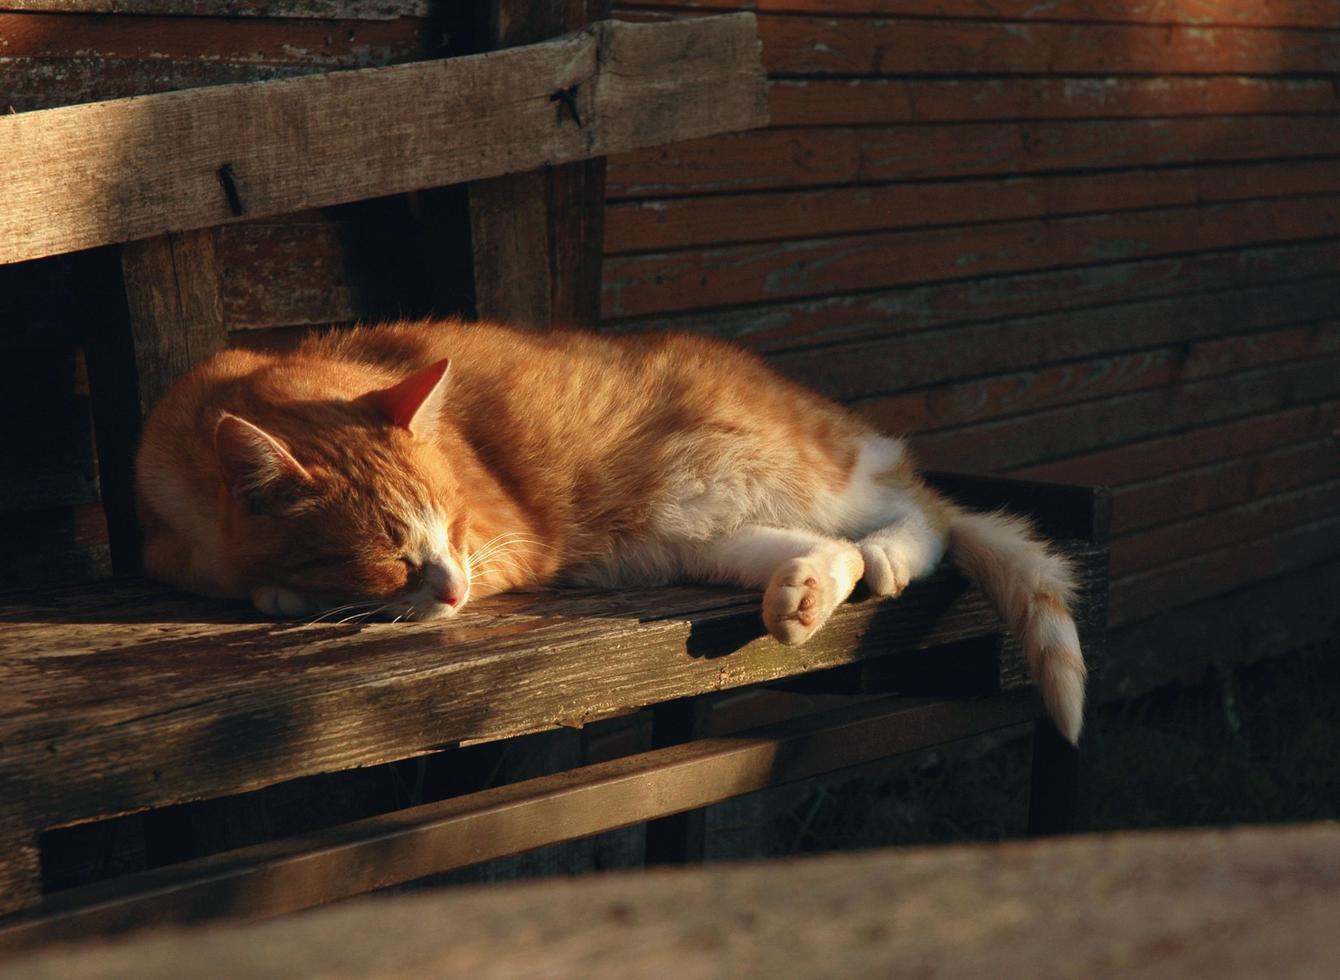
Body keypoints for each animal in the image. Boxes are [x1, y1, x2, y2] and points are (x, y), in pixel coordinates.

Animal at [136, 321, 1082, 745]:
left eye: (453, 524)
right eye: (391, 553)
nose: (454, 586)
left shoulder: (507, 542)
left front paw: (288, 593)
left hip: (803, 472)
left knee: (918, 508)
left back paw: (889, 552)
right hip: (689, 532)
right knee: (827, 552)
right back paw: (805, 596)